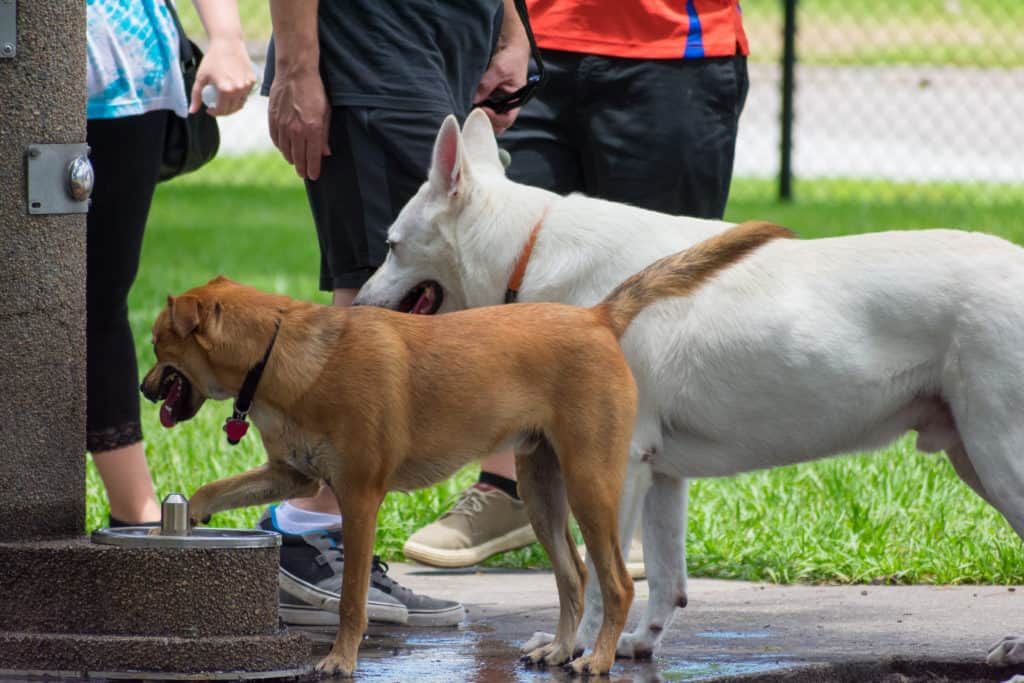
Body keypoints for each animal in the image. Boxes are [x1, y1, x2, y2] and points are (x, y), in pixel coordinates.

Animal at [140, 220, 786, 679]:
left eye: (156, 343)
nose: (145, 390)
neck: (279, 352)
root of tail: (598, 317)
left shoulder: (359, 497)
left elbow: (351, 599)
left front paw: (341, 660)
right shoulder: (293, 475)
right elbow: (213, 489)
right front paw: (186, 520)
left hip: (590, 482)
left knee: (617, 584)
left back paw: (598, 659)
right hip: (541, 488)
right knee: (575, 576)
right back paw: (558, 650)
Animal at [356, 109, 1024, 671]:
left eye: (389, 245)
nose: (356, 306)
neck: (527, 249)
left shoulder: (617, 466)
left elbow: (600, 580)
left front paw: (583, 652)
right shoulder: (660, 473)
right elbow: (665, 578)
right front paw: (634, 645)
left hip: (999, 458)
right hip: (973, 455)